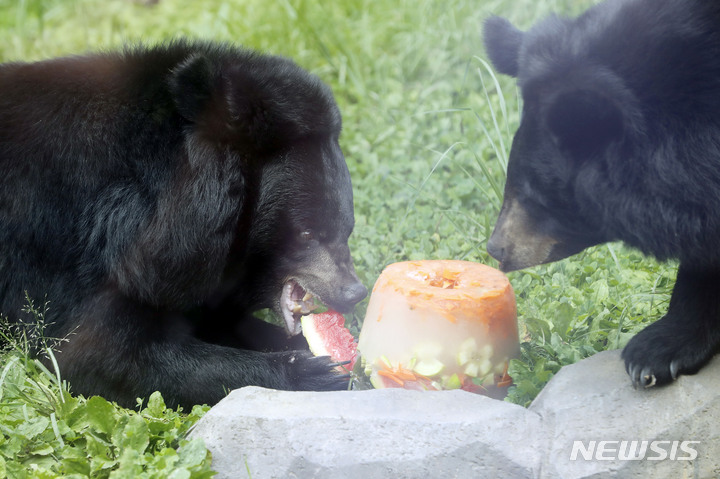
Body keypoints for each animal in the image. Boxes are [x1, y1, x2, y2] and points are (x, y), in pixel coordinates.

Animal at [0, 40, 368, 408]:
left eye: (346, 228)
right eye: (307, 233)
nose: (354, 293)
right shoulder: (67, 249)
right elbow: (95, 352)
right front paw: (312, 372)